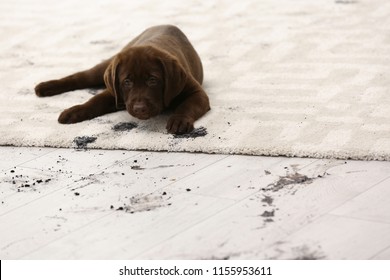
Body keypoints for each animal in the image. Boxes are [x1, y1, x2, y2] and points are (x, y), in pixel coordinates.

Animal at [34, 24, 210, 134]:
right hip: (106, 66)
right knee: (81, 76)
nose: (139, 108)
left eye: (153, 80)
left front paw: (179, 120)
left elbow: (187, 106)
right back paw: (44, 87)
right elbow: (95, 101)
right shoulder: (115, 91)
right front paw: (75, 111)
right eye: (127, 82)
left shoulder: (197, 92)